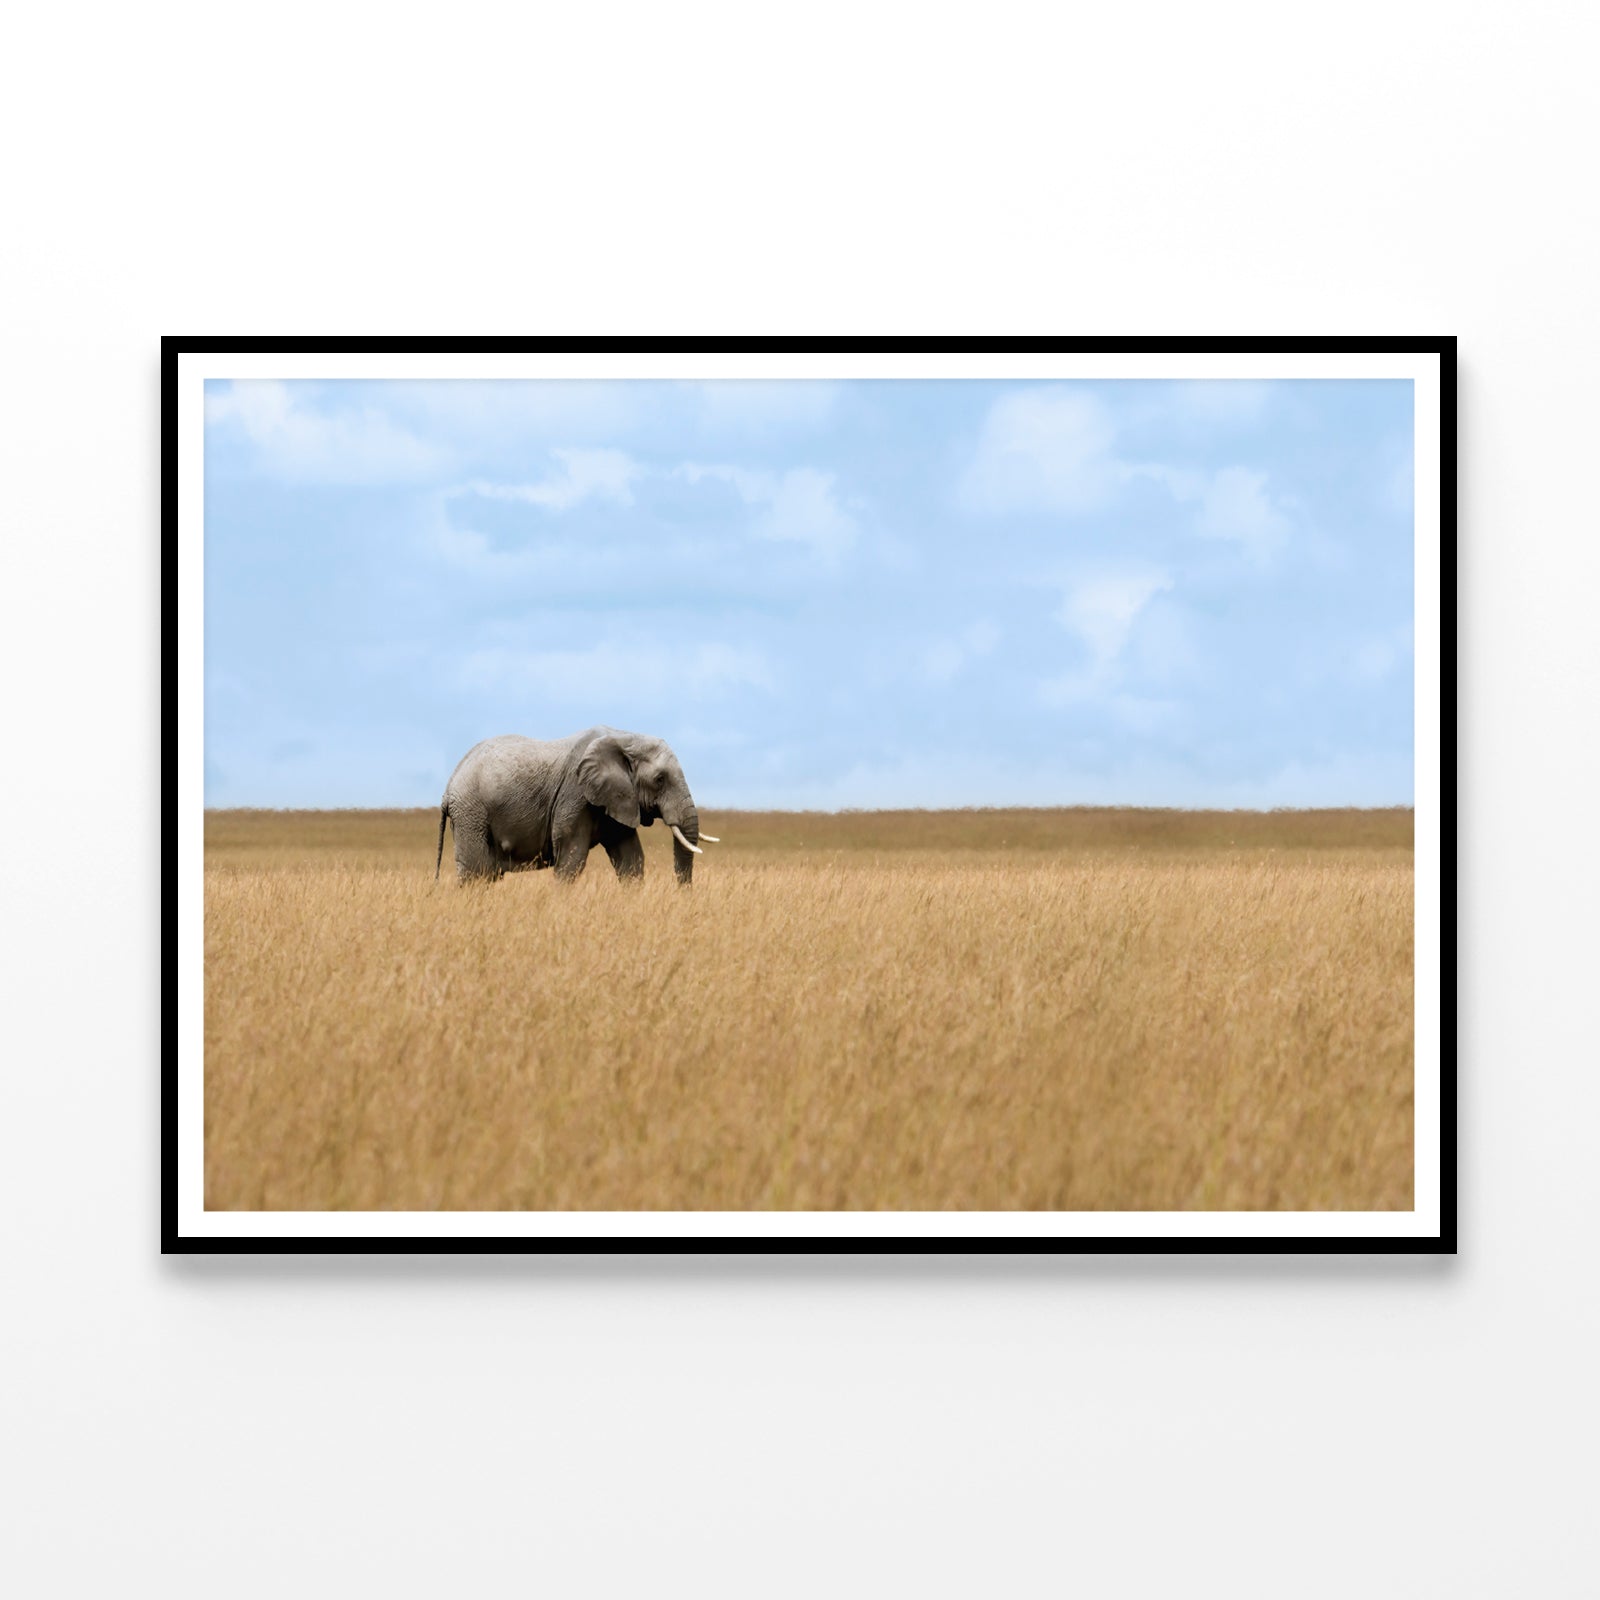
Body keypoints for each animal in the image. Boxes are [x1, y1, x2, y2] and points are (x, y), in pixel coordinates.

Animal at [435, 726, 717, 886]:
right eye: (660, 780)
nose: (683, 894)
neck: (624, 738)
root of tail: (448, 787)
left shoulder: (617, 798)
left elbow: (631, 858)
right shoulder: (575, 795)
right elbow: (572, 857)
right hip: (471, 812)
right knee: (475, 873)